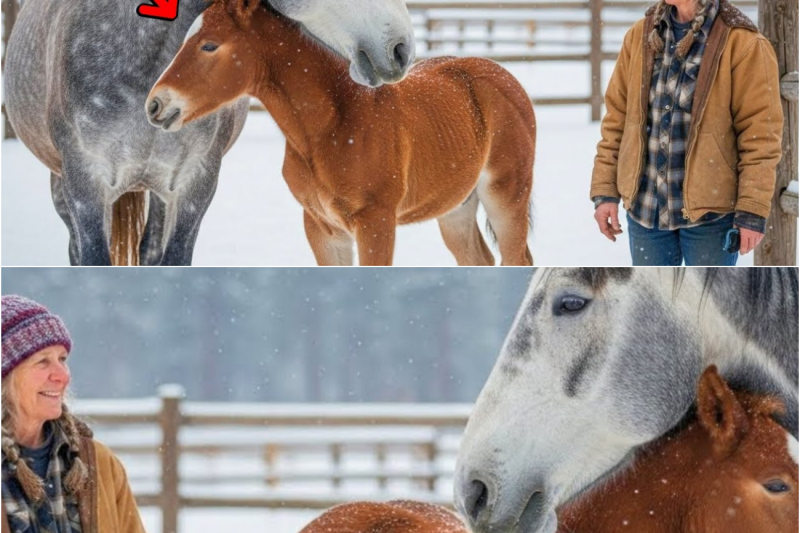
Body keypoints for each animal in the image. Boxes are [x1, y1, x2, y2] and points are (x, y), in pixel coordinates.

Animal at [146, 0, 536, 266]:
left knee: (516, 259)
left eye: (209, 45)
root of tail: (504, 76)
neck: (334, 125)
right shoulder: (321, 228)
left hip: (506, 196)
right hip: (456, 208)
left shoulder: (376, 222)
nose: (155, 104)